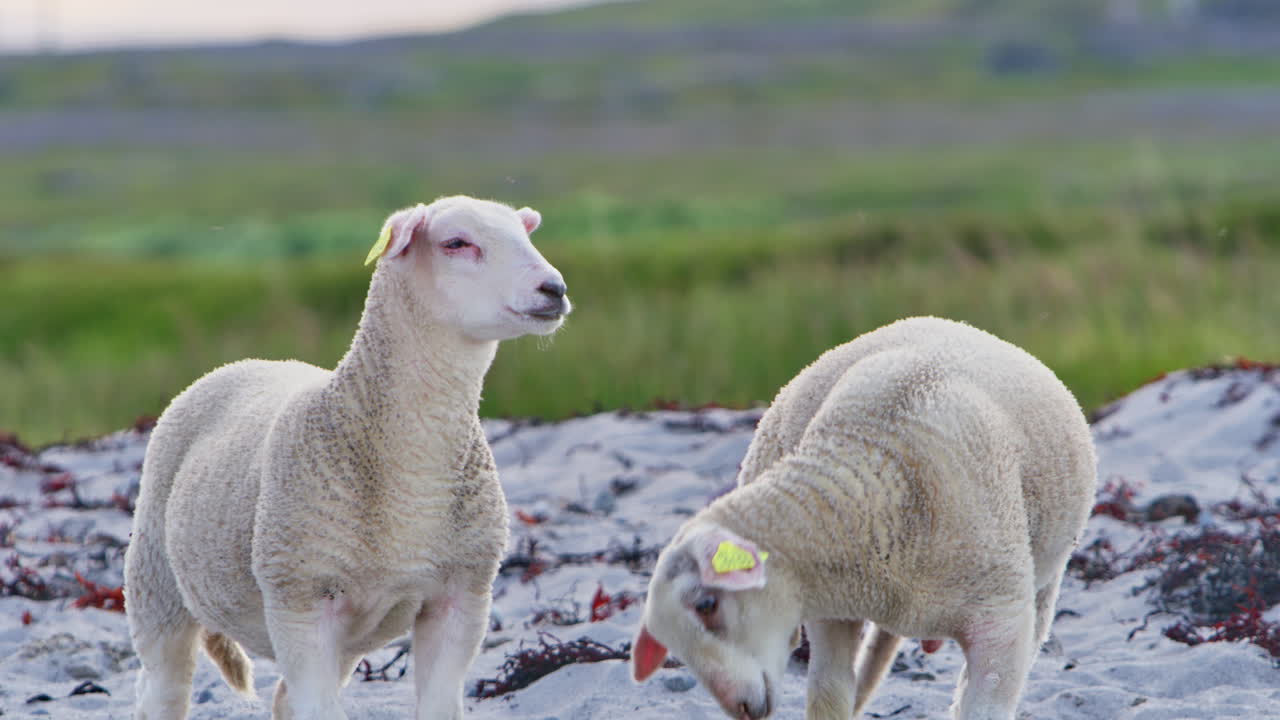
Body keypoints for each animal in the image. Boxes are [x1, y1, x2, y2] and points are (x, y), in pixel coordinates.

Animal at [123, 195, 571, 720]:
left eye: (525, 235)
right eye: (456, 243)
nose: (554, 289)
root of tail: (241, 363)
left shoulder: (462, 594)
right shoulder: (301, 599)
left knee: (281, 698)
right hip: (156, 578)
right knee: (163, 685)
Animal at [631, 316, 1095, 720]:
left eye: (706, 604)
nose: (742, 709)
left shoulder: (1003, 623)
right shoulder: (828, 612)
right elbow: (828, 694)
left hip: (1042, 586)